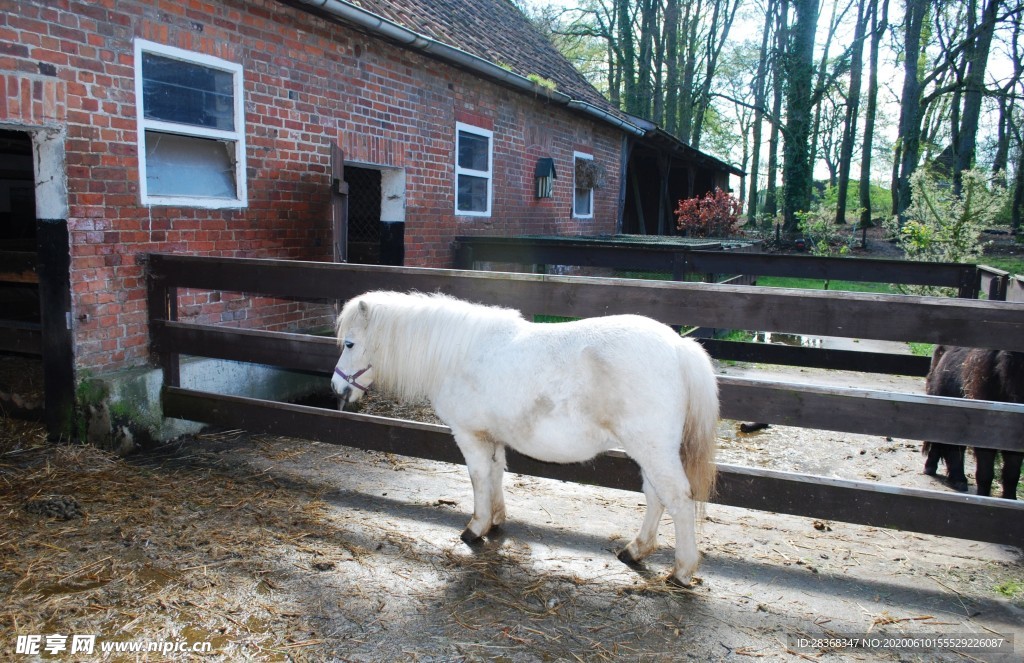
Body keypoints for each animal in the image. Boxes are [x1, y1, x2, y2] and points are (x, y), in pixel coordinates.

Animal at [331, 290, 719, 586]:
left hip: (652, 449)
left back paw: (682, 571)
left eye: (350, 344)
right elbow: (495, 474)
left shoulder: (469, 435)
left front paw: (476, 527)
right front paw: (496, 521)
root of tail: (679, 347)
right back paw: (636, 550)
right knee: (656, 497)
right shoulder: (493, 437)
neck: (458, 355)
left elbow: (478, 477)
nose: (336, 387)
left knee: (677, 499)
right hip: (649, 451)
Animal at [923, 345, 1024, 499]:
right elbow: (985, 472)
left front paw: (1009, 499)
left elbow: (1012, 474)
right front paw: (983, 497)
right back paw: (946, 474)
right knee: (946, 445)